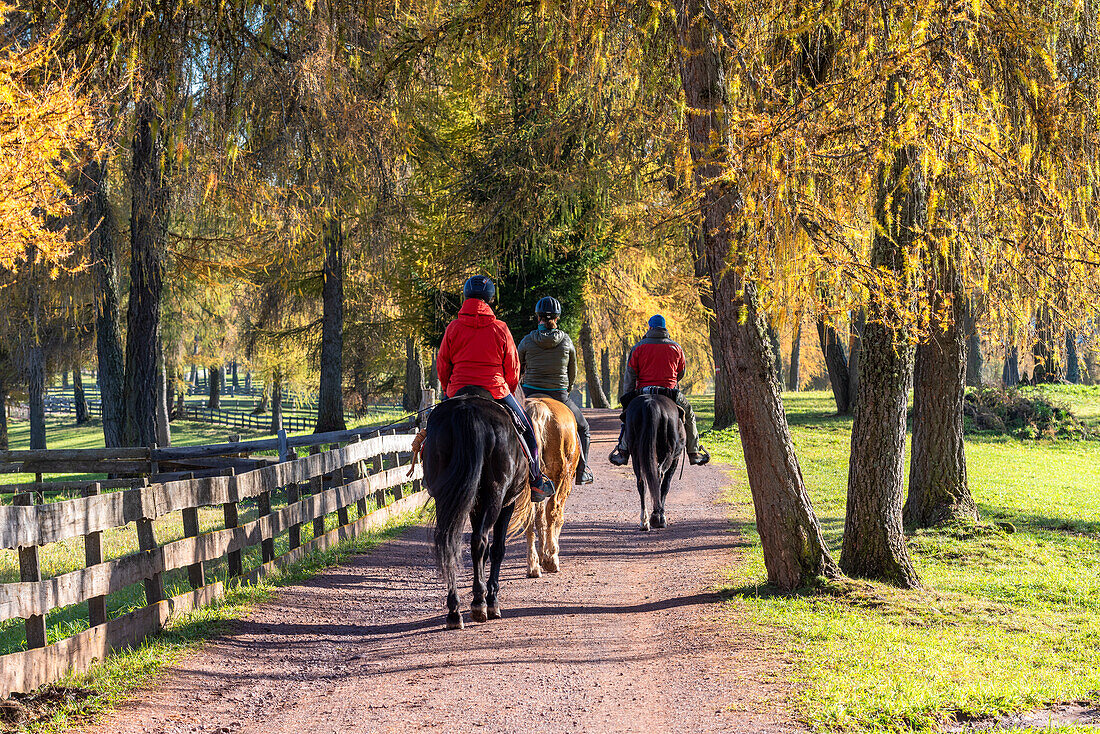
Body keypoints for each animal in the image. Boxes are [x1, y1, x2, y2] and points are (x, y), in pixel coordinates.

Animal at [422, 389, 530, 633]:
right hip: (496, 495)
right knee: (479, 541)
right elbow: (497, 549)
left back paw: (454, 611)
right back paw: (480, 601)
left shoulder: (473, 505)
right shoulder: (507, 504)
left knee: (449, 543)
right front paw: (492, 600)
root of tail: (466, 410)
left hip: (448, 496)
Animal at [519, 398, 580, 576]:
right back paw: (552, 559)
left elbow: (539, 518)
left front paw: (541, 554)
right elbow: (556, 516)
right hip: (561, 476)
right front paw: (549, 553)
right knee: (553, 509)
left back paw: (533, 565)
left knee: (529, 517)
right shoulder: (565, 482)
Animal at [624, 393, 682, 530]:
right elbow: (666, 486)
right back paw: (657, 517)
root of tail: (651, 404)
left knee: (642, 482)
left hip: (636, 454)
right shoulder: (675, 459)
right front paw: (661, 515)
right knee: (659, 476)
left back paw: (644, 521)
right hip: (669, 454)